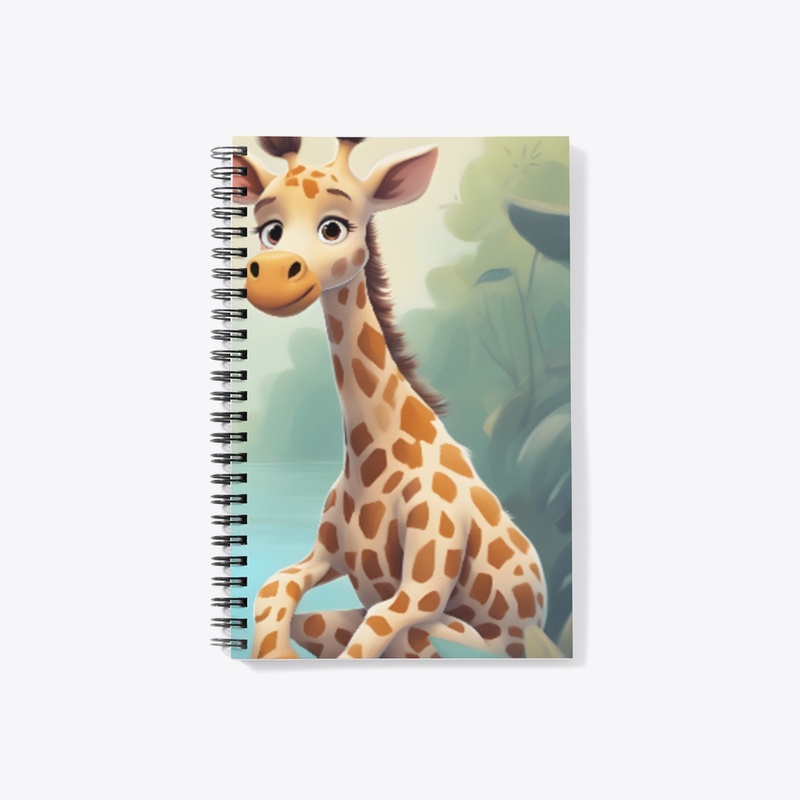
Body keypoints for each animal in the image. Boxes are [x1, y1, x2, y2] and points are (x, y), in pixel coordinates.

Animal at [232, 136, 547, 658]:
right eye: (270, 231)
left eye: (334, 226)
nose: (271, 278)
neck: (369, 457)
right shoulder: (324, 556)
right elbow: (274, 590)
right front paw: (273, 654)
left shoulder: (424, 587)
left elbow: (376, 629)